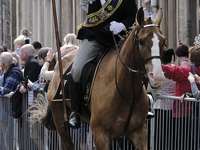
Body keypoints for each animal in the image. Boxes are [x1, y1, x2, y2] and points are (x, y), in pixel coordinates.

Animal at [28, 7, 165, 150]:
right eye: (141, 41)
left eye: (164, 41)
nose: (157, 76)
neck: (125, 89)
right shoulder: (101, 135)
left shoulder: (139, 132)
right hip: (60, 118)